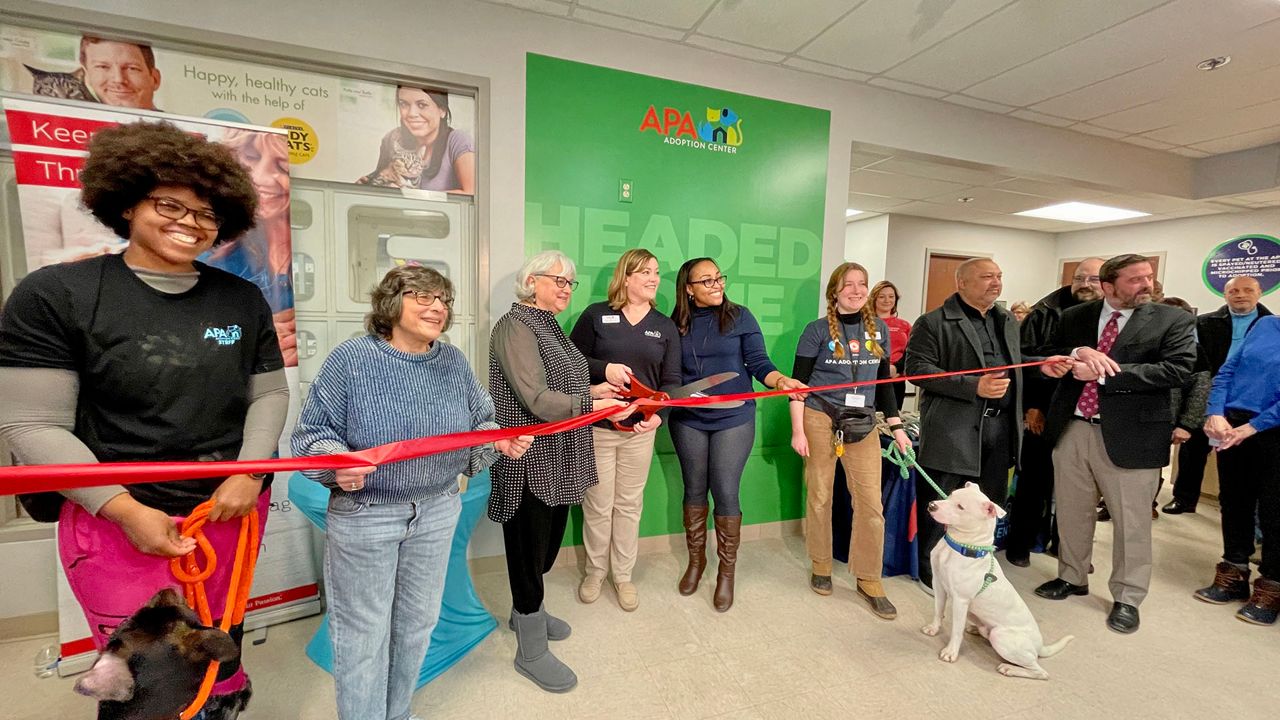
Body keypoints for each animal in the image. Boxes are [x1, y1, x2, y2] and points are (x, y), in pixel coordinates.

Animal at [921, 479, 1070, 676]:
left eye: (961, 507)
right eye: (951, 495)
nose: (932, 505)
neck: (961, 547)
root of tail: (1040, 646)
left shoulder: (961, 601)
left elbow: (956, 631)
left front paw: (951, 652)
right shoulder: (938, 584)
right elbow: (938, 611)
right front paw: (933, 628)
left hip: (1001, 637)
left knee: (1040, 672)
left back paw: (1009, 668)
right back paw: (976, 629)